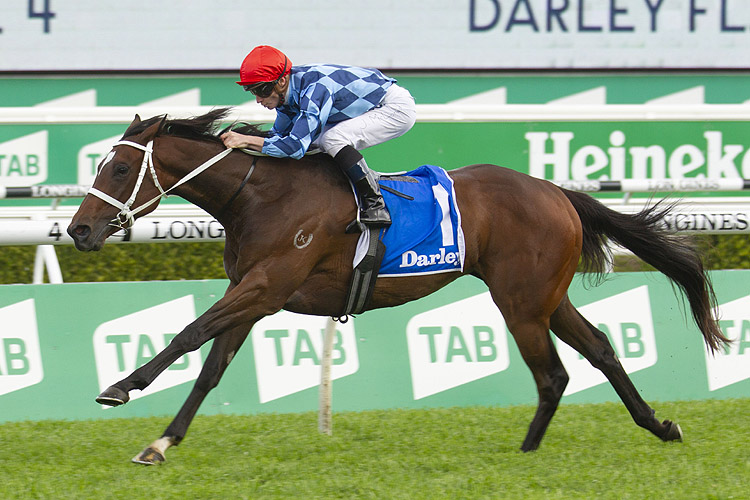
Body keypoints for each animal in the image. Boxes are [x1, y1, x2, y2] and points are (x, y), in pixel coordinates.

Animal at [69, 108, 728, 464]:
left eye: (120, 168)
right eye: (101, 165)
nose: (78, 230)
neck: (259, 195)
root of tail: (555, 190)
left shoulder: (265, 285)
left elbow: (188, 334)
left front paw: (120, 388)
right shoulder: (256, 296)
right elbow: (211, 368)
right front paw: (161, 442)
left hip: (520, 301)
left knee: (553, 374)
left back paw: (527, 453)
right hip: (546, 295)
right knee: (599, 350)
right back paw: (658, 425)